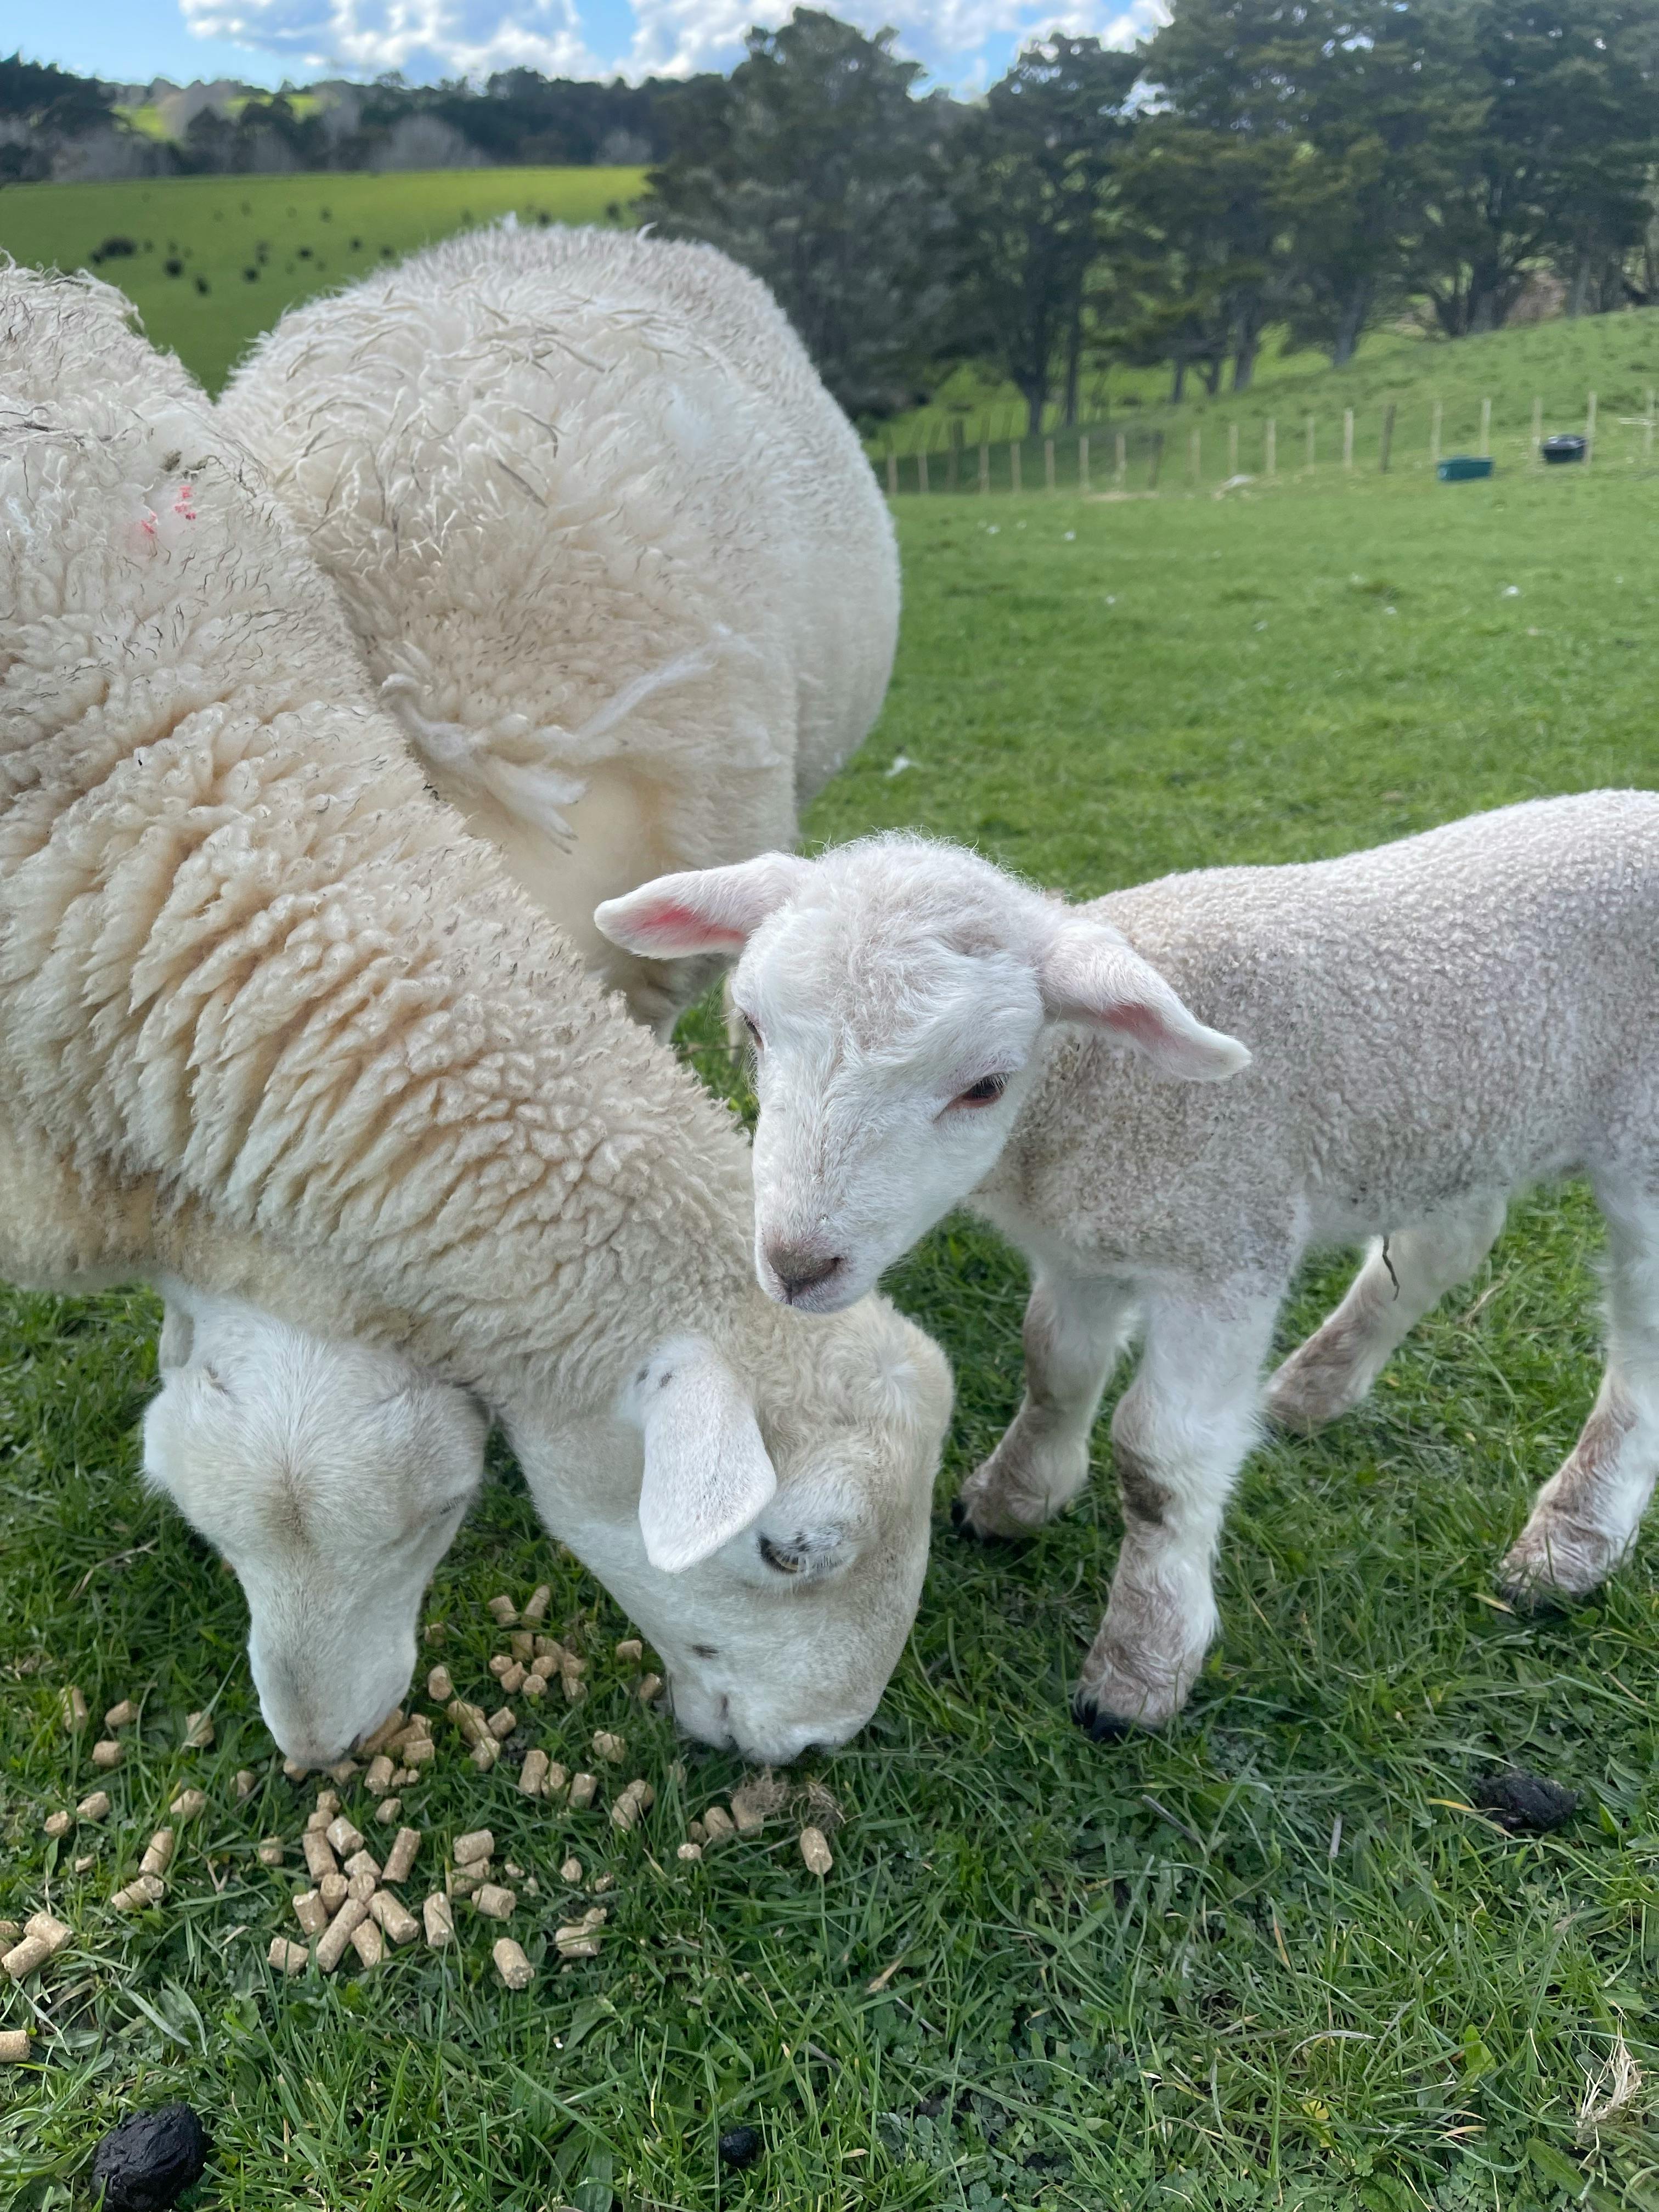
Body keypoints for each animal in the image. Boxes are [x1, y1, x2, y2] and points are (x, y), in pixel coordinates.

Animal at [596, 794, 1659, 1734]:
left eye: (985, 1086)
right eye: (753, 1029)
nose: (796, 1264)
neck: (1091, 1084)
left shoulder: (1223, 1245)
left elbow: (1160, 1458)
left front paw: (1140, 1662)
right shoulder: (1081, 1245)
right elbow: (1053, 1367)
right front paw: (1015, 1496)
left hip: (1639, 1149)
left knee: (1638, 1346)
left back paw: (1572, 1538)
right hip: (1463, 1122)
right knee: (1443, 1245)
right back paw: (1315, 1385)